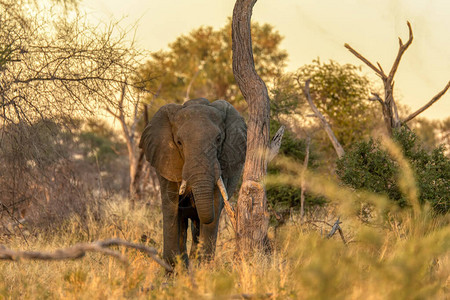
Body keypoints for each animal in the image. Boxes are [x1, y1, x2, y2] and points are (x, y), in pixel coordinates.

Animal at [140, 97, 248, 266]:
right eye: (179, 142)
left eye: (218, 139)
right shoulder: (167, 160)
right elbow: (171, 207)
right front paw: (173, 267)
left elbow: (214, 204)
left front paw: (202, 266)